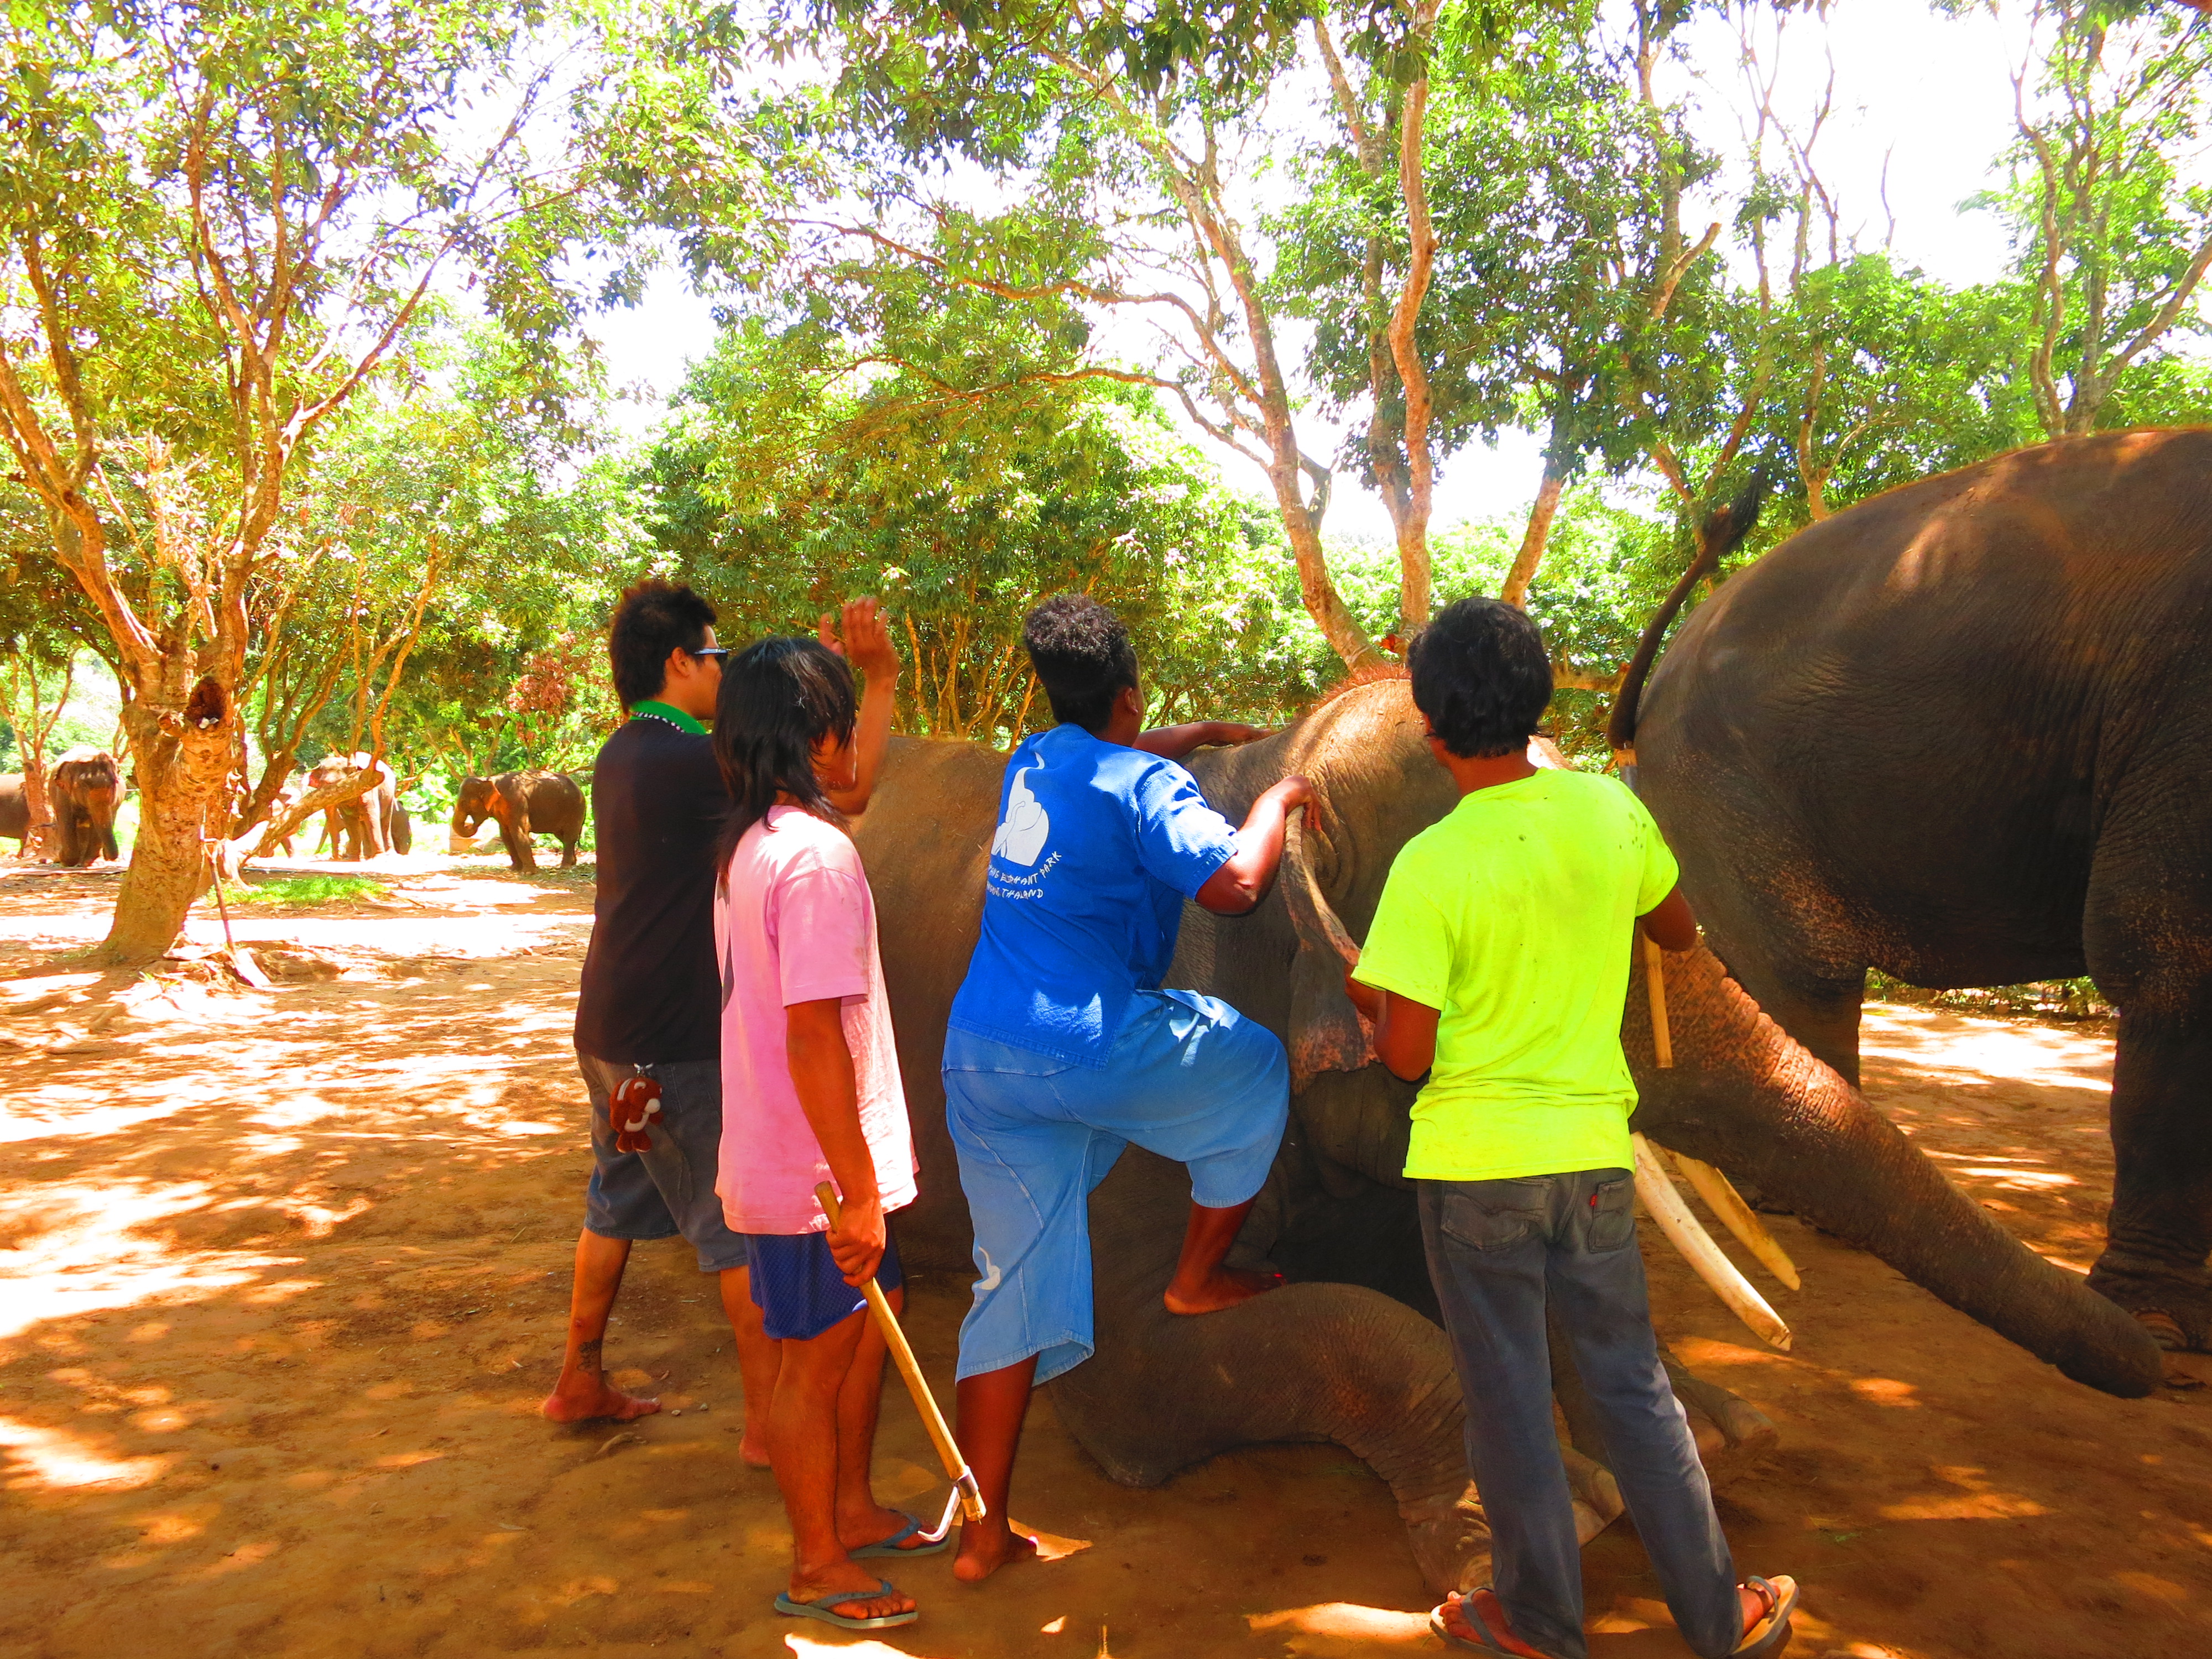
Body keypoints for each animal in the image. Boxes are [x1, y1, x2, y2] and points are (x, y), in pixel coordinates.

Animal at [50, 748, 121, 867]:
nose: (112, 858)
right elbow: (67, 822)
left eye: (115, 782)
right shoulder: (63, 794)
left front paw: (91, 863)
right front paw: (64, 860)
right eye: (83, 785)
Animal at [452, 771, 584, 872]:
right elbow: (506, 835)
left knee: (570, 836)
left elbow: (519, 832)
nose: (470, 824)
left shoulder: (517, 800)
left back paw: (565, 868)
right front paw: (515, 869)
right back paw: (572, 863)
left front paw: (529, 873)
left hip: (575, 809)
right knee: (563, 837)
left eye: (463, 802)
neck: (490, 780)